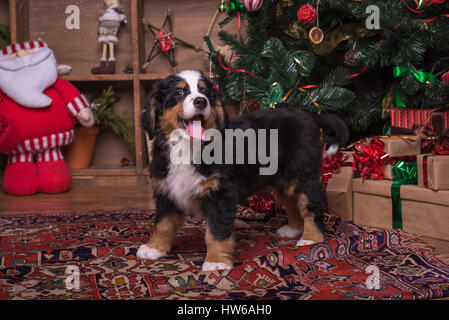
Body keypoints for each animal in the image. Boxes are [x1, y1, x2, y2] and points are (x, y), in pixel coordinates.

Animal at [138, 69, 348, 270]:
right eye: (179, 93)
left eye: (205, 92)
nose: (201, 101)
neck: (186, 147)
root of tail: (310, 117)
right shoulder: (166, 190)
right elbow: (163, 224)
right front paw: (154, 249)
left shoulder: (221, 193)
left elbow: (215, 232)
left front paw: (216, 262)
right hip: (283, 180)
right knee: (291, 203)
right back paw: (293, 230)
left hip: (302, 175)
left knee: (311, 206)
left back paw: (311, 240)